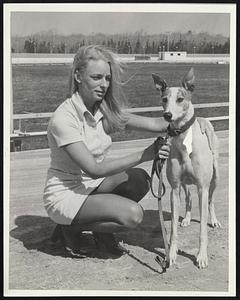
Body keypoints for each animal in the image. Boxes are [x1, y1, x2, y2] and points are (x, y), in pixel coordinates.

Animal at [152, 68, 221, 270]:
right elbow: (173, 229)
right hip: (184, 183)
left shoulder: (202, 188)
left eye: (180, 99)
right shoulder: (174, 189)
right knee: (189, 198)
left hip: (215, 176)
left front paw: (201, 257)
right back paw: (187, 219)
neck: (183, 137)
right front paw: (171, 255)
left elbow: (202, 230)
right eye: (164, 99)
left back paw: (214, 221)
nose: (167, 115)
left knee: (211, 201)